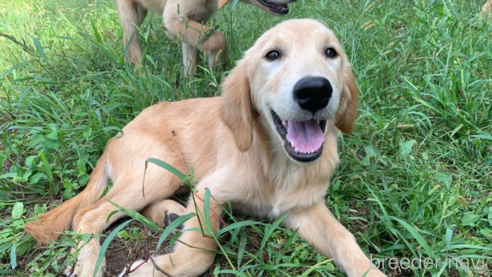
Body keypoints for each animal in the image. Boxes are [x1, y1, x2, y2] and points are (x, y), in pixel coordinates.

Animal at [25, 18, 386, 274]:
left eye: (331, 52)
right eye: (272, 54)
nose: (314, 91)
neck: (276, 164)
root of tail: (116, 136)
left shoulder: (303, 208)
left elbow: (344, 239)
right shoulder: (209, 190)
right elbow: (201, 251)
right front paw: (154, 269)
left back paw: (171, 214)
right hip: (162, 167)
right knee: (88, 215)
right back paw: (91, 264)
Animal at [115, 0, 296, 73]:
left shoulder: (193, 21)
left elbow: (190, 60)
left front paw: (191, 88)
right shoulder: (174, 19)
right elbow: (219, 38)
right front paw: (217, 66)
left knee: (127, 39)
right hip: (129, 11)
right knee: (133, 41)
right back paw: (142, 73)